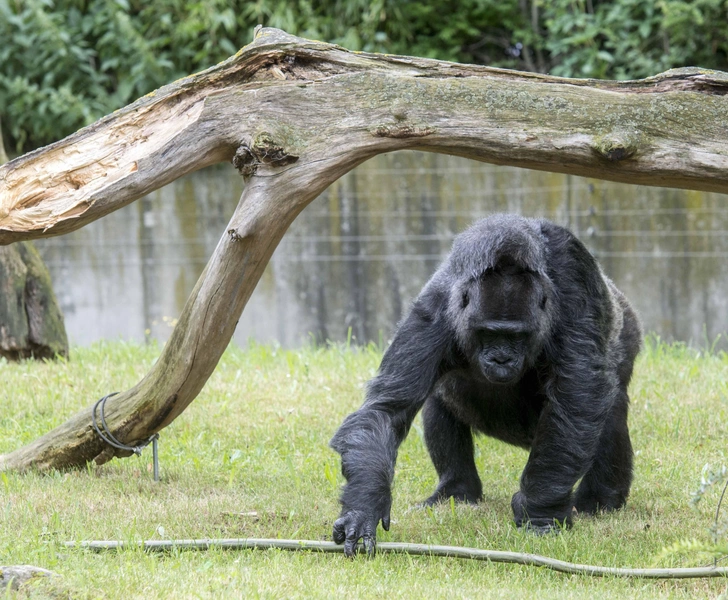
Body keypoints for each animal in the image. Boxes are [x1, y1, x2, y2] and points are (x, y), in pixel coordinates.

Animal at [330, 213, 644, 556]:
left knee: (608, 411)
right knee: (440, 400)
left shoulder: (575, 281)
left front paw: (541, 512)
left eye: (516, 336)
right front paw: (364, 506)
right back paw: (456, 491)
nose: (501, 359)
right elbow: (385, 410)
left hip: (628, 327)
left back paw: (599, 502)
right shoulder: (434, 312)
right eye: (488, 333)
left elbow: (577, 402)